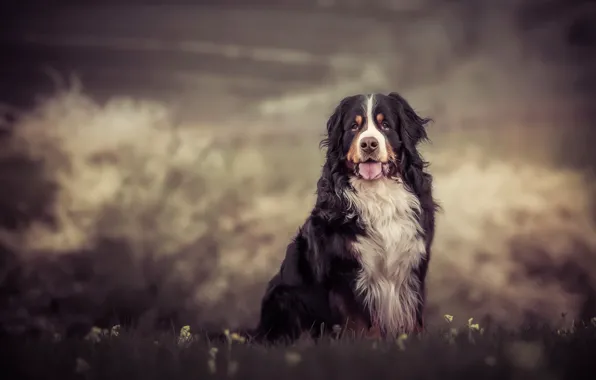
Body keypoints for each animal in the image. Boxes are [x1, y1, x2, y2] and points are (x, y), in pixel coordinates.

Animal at [255, 93, 438, 344]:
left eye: (385, 125)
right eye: (354, 126)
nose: (369, 143)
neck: (378, 195)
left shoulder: (413, 263)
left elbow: (414, 317)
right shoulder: (345, 270)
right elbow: (359, 322)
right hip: (285, 295)